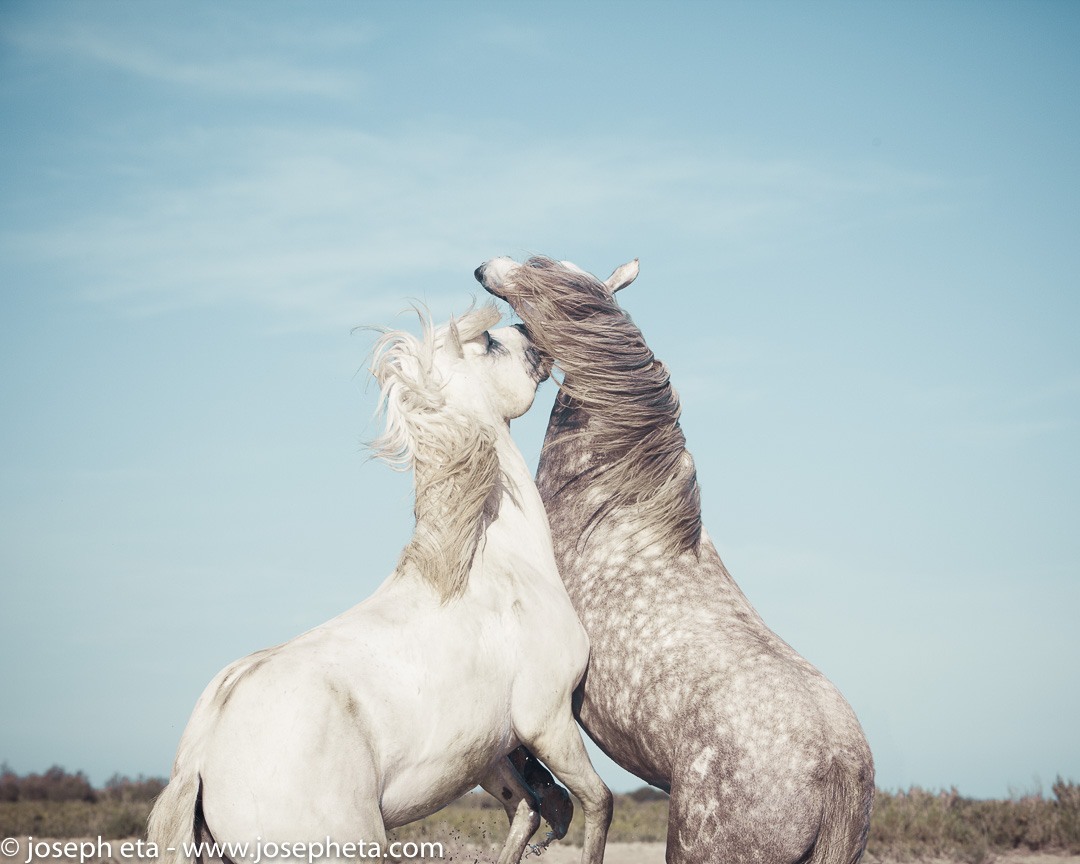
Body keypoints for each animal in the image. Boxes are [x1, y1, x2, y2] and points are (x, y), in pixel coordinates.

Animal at [147, 304, 613, 864]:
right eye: (489, 342)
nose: (535, 334)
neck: (497, 568)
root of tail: (199, 757)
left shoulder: (487, 752)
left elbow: (528, 809)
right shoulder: (547, 718)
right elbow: (597, 802)